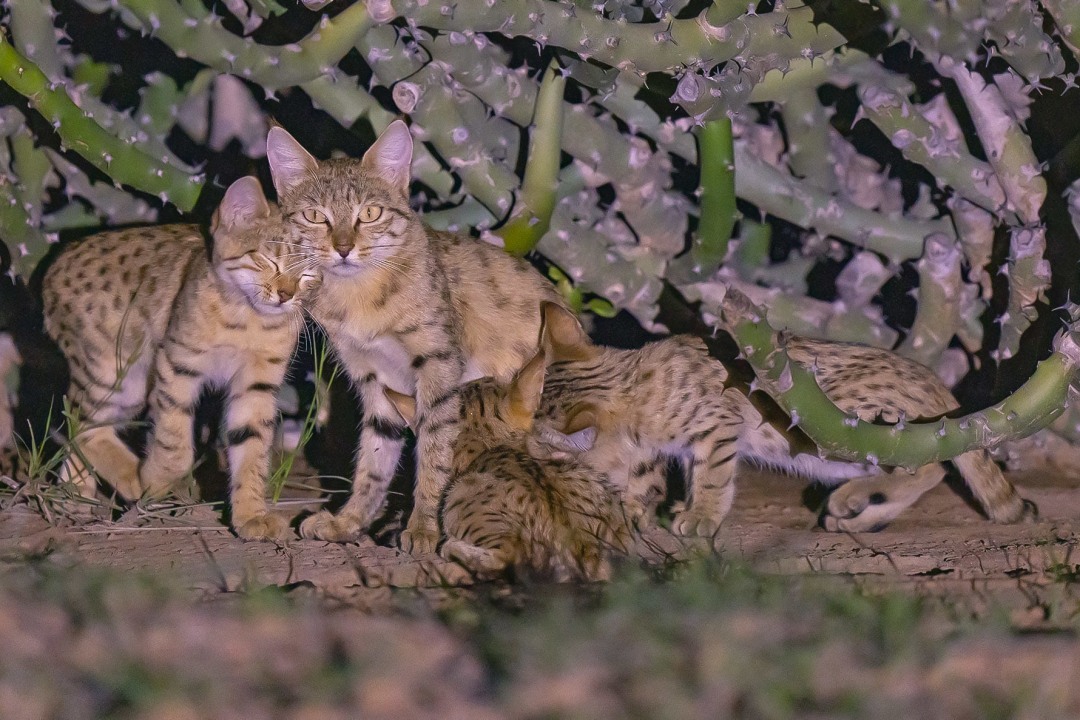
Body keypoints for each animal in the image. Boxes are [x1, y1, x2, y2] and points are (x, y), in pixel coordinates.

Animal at [43, 179, 319, 539]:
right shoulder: (177, 363)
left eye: (309, 274)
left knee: (84, 422)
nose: (287, 295)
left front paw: (251, 516)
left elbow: (252, 448)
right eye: (267, 260)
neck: (249, 319)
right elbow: (175, 443)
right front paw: (153, 480)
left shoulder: (257, 383)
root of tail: (54, 265)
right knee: (77, 420)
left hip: (127, 387)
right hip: (112, 371)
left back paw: (74, 497)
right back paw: (124, 480)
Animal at [266, 119, 565, 552]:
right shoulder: (373, 377)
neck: (359, 298)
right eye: (314, 216)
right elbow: (373, 459)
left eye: (370, 213)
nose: (344, 248)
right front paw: (349, 522)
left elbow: (436, 450)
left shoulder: (440, 368)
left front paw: (424, 527)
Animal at [531, 302, 1028, 533]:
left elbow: (711, 478)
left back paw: (852, 501)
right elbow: (643, 478)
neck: (633, 382)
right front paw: (636, 510)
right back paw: (857, 517)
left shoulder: (716, 427)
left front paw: (701, 515)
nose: (526, 459)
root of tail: (938, 384)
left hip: (847, 430)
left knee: (929, 468)